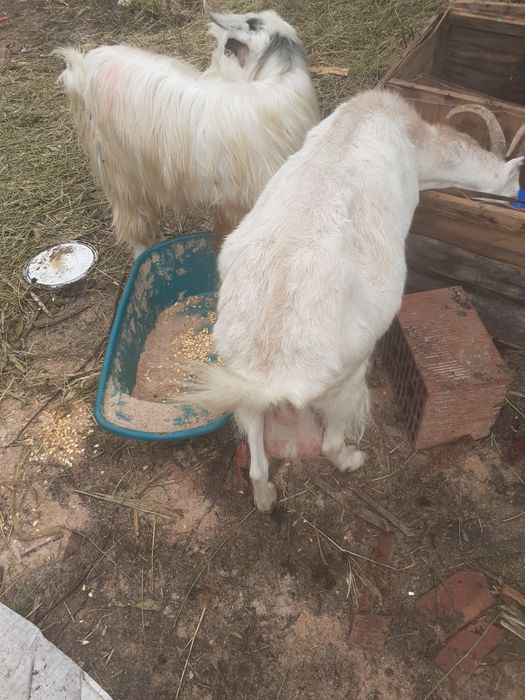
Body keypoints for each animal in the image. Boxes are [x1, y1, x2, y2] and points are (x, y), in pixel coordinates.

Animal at [55, 2, 320, 257]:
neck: (278, 81)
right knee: (131, 219)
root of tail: (86, 62)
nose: (210, 73)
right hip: (117, 168)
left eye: (226, 50)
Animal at [175, 89, 524, 512]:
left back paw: (266, 497)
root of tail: (277, 373)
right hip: (347, 375)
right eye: (512, 190)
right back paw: (353, 459)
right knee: (329, 442)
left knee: (257, 461)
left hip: (239, 380)